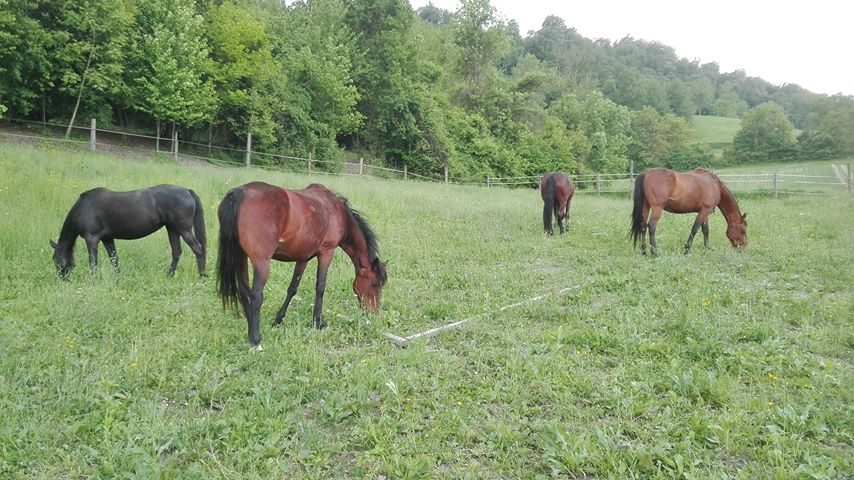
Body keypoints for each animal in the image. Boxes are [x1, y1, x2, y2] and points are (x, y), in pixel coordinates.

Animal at [50, 185, 207, 279]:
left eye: (55, 259)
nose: (63, 279)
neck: (83, 208)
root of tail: (187, 191)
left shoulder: (92, 238)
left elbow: (93, 262)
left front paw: (93, 280)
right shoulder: (107, 238)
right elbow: (114, 259)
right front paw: (118, 277)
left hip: (183, 230)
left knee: (198, 249)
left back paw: (202, 276)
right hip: (173, 229)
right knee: (176, 252)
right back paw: (169, 275)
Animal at [216, 182, 388, 350]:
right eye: (374, 284)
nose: (374, 312)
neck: (337, 212)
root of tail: (239, 192)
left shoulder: (302, 258)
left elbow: (293, 288)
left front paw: (279, 319)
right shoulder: (327, 252)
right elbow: (320, 287)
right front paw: (318, 322)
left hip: (241, 257)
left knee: (244, 292)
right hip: (261, 262)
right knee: (256, 295)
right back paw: (255, 340)